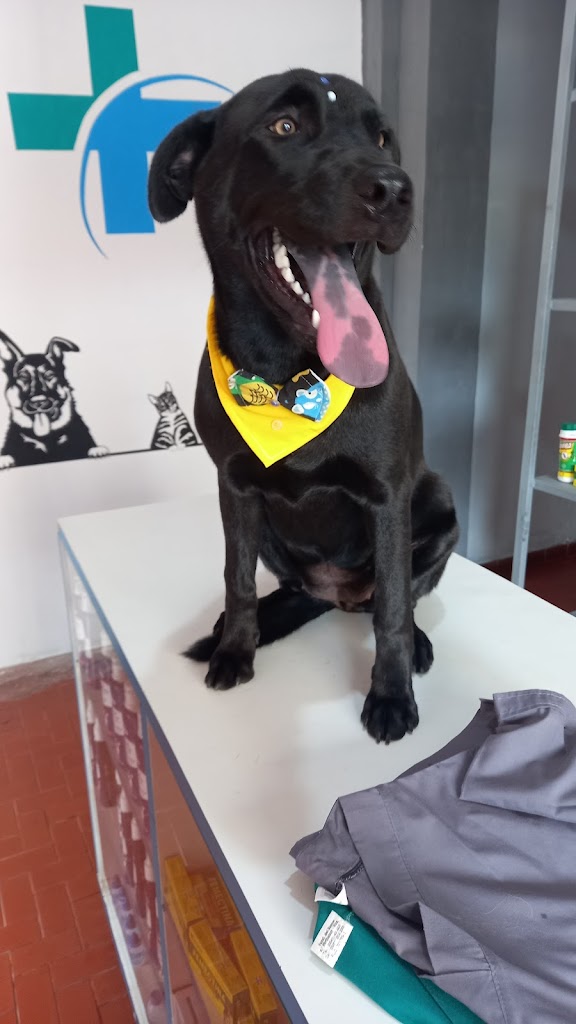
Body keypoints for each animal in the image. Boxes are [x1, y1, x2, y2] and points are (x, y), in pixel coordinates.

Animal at [0, 332, 108, 468]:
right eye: (23, 377)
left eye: (49, 375)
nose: (38, 402)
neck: (46, 438)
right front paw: (5, 460)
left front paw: (96, 450)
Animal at [148, 69, 459, 743]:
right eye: (284, 125)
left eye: (382, 137)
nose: (394, 189)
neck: (286, 378)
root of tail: (336, 594)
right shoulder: (234, 487)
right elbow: (236, 579)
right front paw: (235, 649)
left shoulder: (388, 496)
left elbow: (393, 608)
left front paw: (391, 695)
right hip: (272, 534)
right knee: (291, 591)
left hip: (439, 507)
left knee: (396, 598)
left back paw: (416, 645)